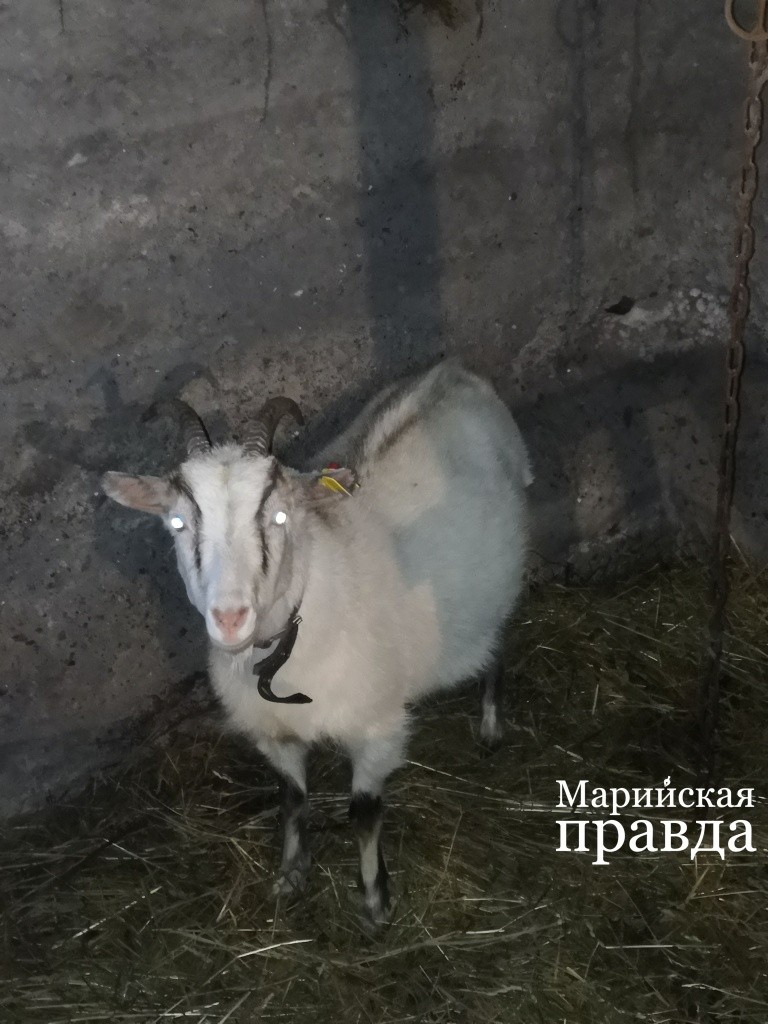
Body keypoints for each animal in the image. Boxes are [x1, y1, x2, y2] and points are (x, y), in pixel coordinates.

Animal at [102, 361, 532, 925]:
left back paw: (490, 725)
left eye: (279, 516)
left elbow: (364, 812)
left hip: (501, 579)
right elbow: (292, 799)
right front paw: (290, 875)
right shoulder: (274, 733)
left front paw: (374, 900)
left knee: (497, 641)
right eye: (177, 522)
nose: (230, 618)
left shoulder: (377, 728)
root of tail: (451, 373)